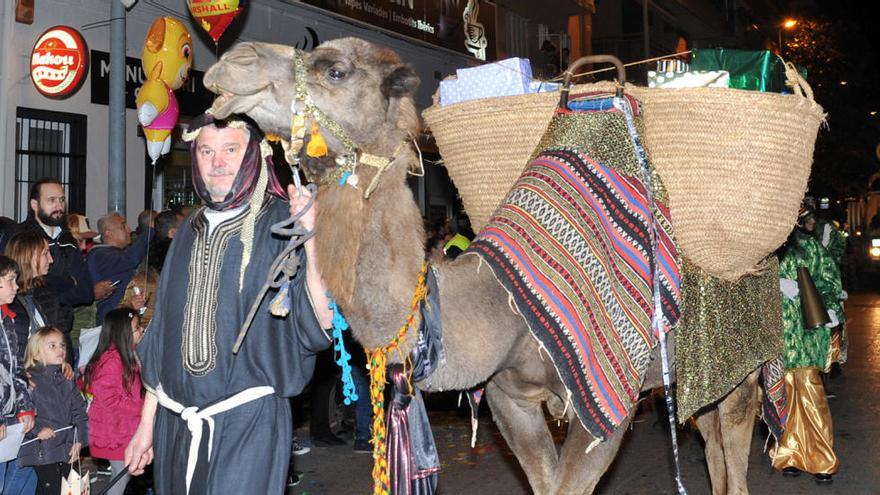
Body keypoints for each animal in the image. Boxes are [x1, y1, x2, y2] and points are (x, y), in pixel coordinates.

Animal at [205, 36, 764, 494]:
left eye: (335, 70)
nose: (235, 61)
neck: (499, 306)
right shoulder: (506, 398)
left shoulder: (607, 402)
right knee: (711, 439)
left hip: (741, 359)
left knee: (733, 448)